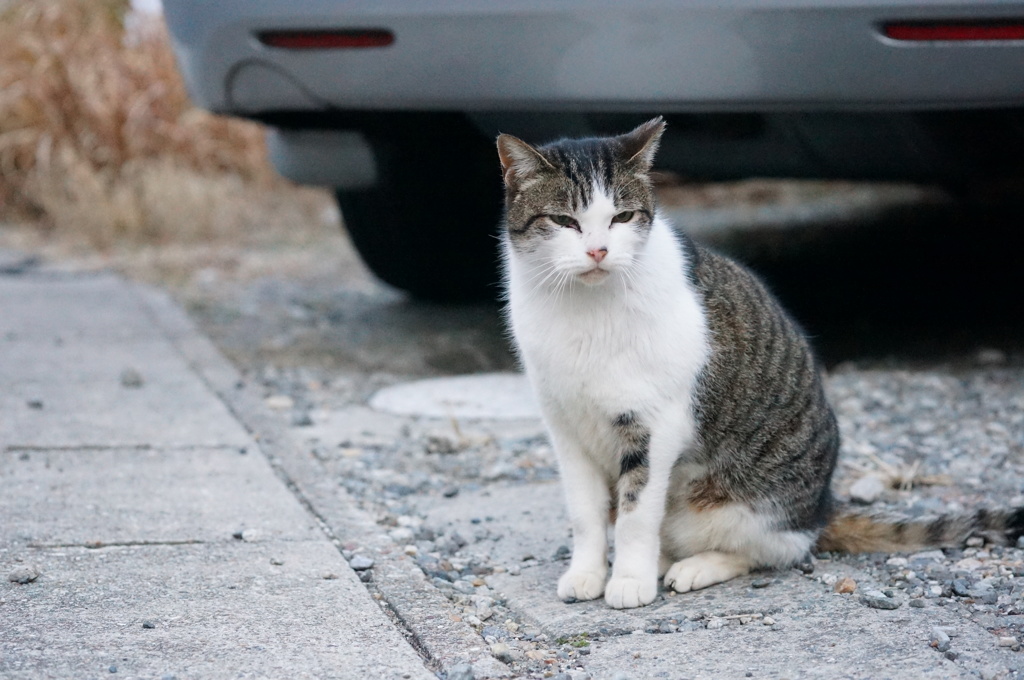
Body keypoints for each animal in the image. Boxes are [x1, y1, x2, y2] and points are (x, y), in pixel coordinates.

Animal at [495, 118, 1024, 610]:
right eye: (565, 221)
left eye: (622, 217)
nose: (599, 250)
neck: (584, 311)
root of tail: (819, 510)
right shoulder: (566, 428)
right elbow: (586, 513)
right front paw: (586, 574)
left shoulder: (653, 426)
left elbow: (635, 514)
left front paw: (627, 580)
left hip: (743, 506)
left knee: (771, 551)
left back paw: (694, 567)